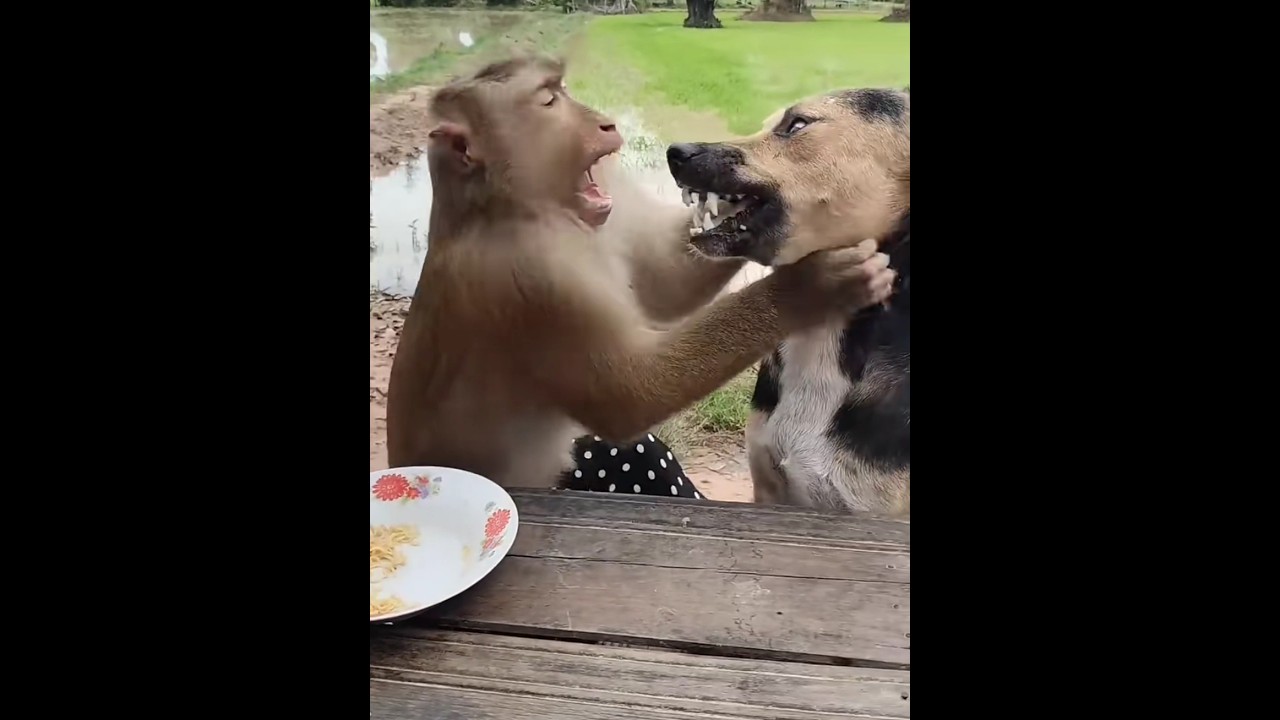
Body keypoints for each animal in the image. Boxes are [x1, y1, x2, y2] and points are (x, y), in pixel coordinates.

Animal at [384, 57, 897, 494]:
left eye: (564, 92)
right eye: (549, 101)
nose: (606, 124)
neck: (513, 207)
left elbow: (661, 285)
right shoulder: (527, 279)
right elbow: (631, 393)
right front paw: (813, 286)